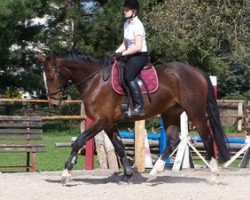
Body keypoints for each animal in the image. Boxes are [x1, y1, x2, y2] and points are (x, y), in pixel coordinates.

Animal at [36, 50, 229, 184]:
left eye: (51, 76)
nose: (53, 102)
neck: (95, 80)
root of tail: (197, 71)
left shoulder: (101, 121)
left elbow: (78, 141)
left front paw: (66, 174)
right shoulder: (108, 123)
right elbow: (119, 146)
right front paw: (127, 175)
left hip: (195, 111)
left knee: (207, 137)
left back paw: (215, 175)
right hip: (170, 112)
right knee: (173, 140)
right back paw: (154, 174)